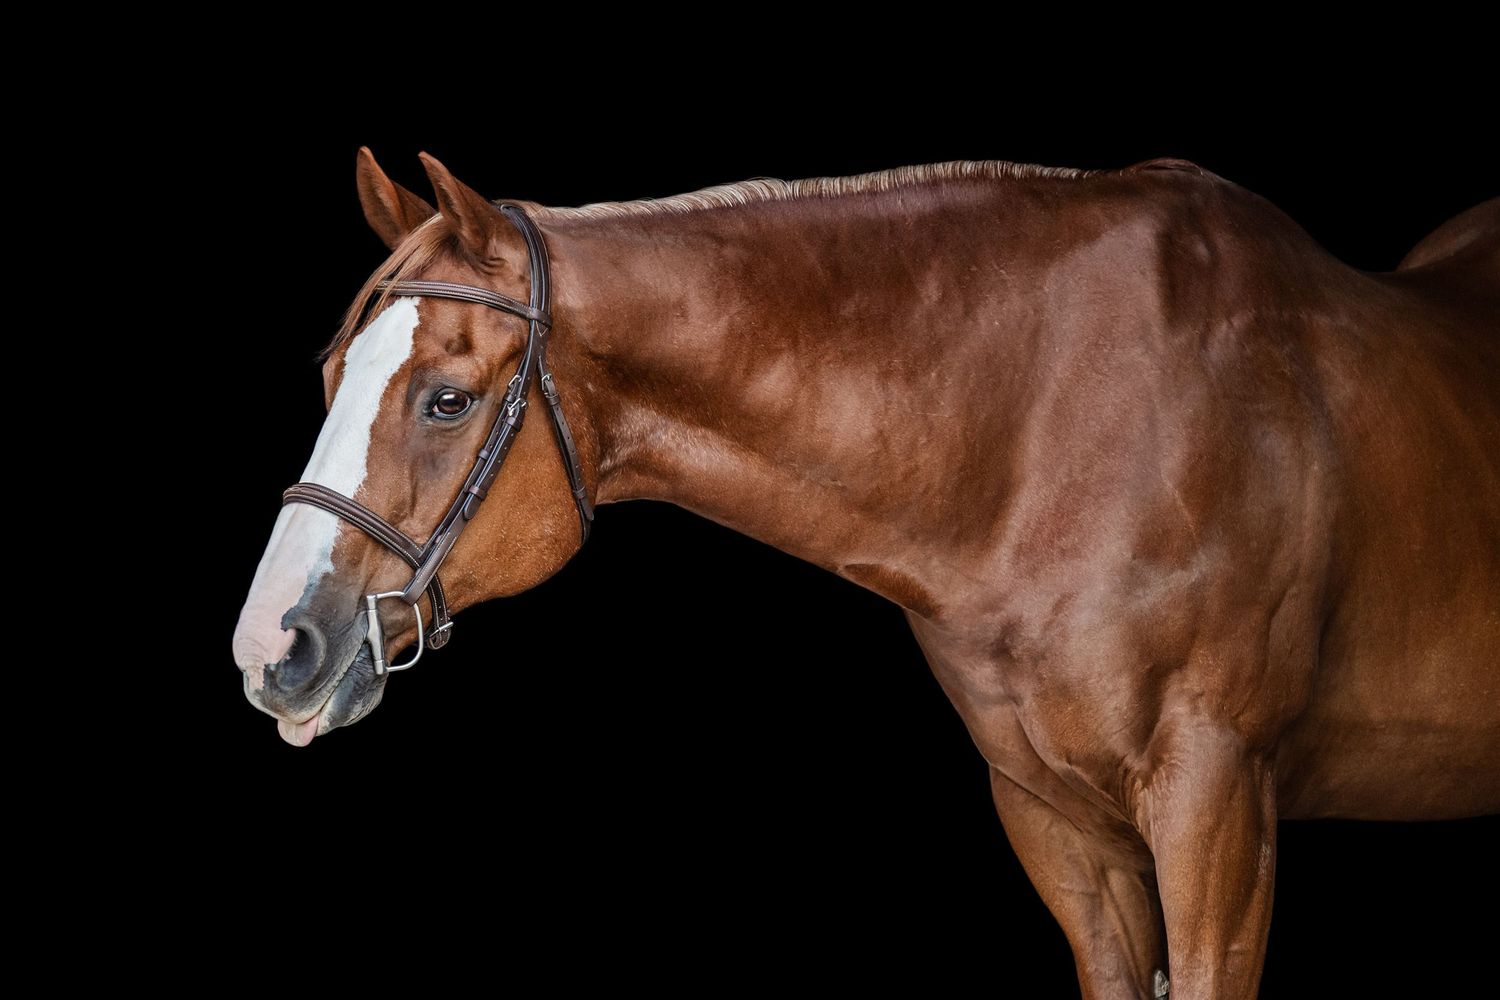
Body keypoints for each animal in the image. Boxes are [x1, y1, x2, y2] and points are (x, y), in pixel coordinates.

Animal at [233, 149, 1499, 999]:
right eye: (334, 370)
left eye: (446, 400)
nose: (272, 645)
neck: (1064, 418)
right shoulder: (1061, 827)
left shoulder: (1218, 809)